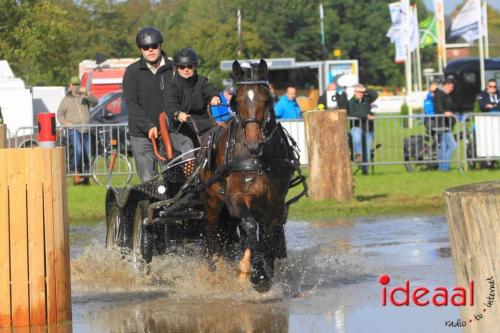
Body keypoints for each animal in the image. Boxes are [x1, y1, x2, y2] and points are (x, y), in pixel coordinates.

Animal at [200, 59, 304, 290]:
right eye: (236, 101)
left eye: (266, 99)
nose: (253, 144)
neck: (259, 160)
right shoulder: (236, 198)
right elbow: (249, 225)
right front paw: (259, 275)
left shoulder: (274, 204)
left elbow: (266, 236)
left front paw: (264, 271)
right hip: (212, 200)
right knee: (211, 233)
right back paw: (213, 272)